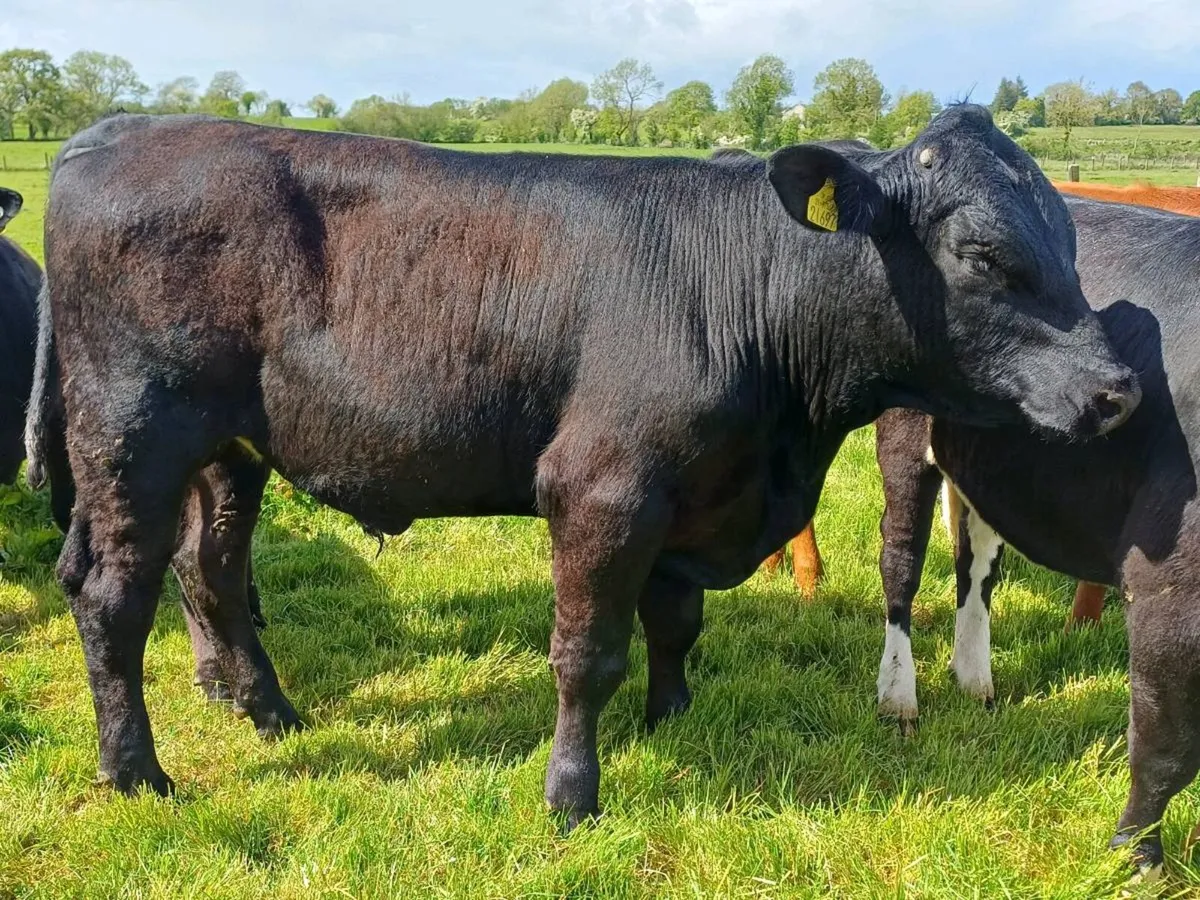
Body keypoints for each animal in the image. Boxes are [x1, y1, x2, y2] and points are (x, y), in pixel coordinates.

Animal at [30, 106, 1140, 829]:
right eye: (985, 255)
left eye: (1069, 231)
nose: (1118, 388)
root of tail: (114, 129)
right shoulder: (602, 489)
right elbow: (585, 654)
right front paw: (573, 795)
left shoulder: (692, 491)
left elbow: (676, 622)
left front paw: (673, 721)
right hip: (132, 434)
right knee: (113, 595)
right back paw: (137, 774)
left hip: (230, 451)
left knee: (211, 569)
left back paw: (270, 715)